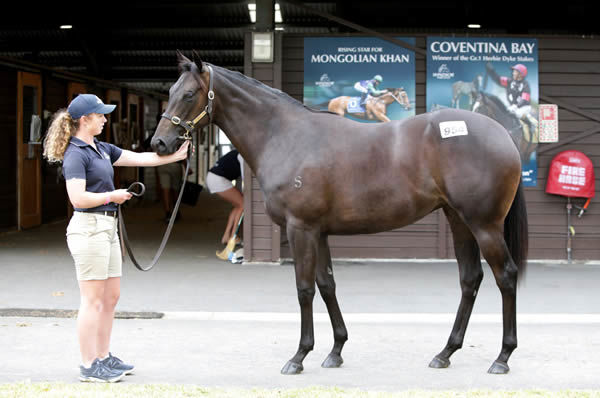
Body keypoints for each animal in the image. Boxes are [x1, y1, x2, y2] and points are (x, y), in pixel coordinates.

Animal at [152, 52, 528, 376]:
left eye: (188, 94)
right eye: (169, 92)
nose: (159, 144)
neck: (285, 135)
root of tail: (502, 134)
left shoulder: (300, 228)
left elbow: (304, 288)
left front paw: (299, 356)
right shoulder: (319, 232)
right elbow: (327, 285)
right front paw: (335, 351)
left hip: (484, 226)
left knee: (506, 276)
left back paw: (503, 357)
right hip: (459, 220)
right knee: (470, 279)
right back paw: (445, 352)